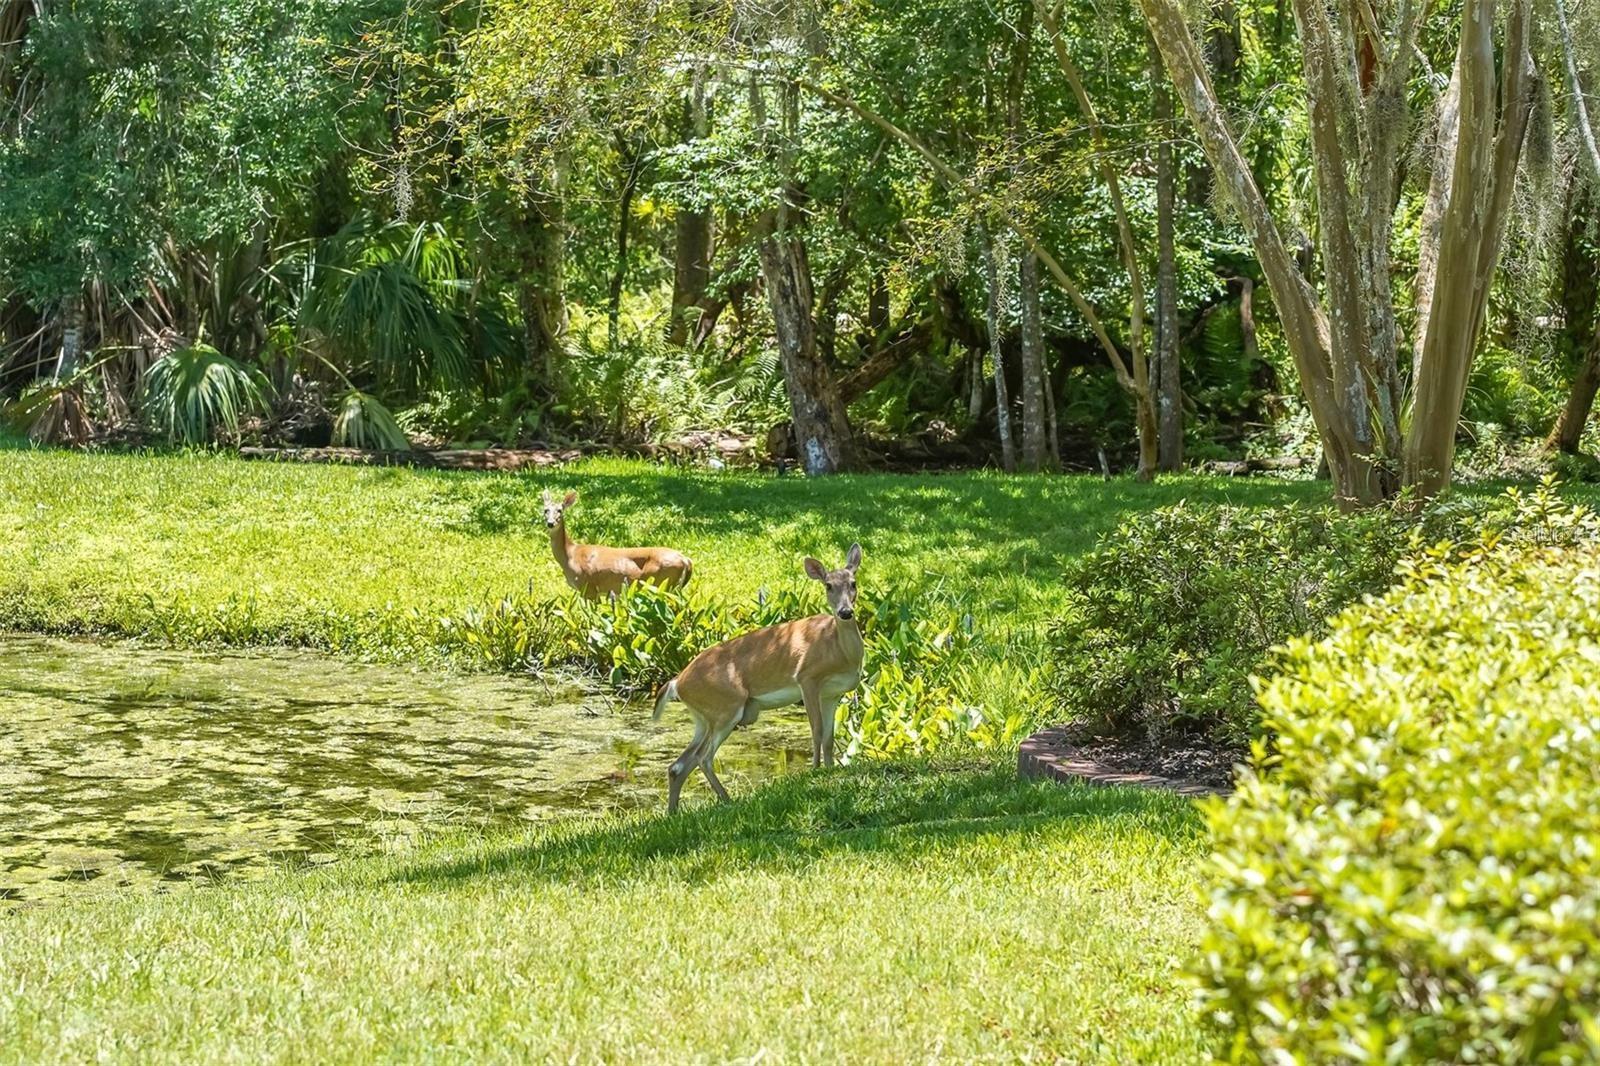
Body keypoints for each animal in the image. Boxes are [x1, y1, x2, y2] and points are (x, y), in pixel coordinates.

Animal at [541, 490, 694, 600]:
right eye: (545, 510)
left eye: (560, 510)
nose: (550, 523)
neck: (570, 554)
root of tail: (686, 560)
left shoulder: (588, 586)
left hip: (663, 583)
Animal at [652, 544, 863, 813]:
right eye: (828, 585)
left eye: (853, 583)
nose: (845, 612)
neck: (840, 650)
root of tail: (677, 681)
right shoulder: (807, 677)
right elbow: (816, 730)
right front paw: (815, 771)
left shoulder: (832, 693)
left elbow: (828, 737)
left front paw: (829, 770)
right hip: (726, 706)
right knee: (703, 757)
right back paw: (727, 800)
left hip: (703, 717)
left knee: (678, 765)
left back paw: (674, 812)